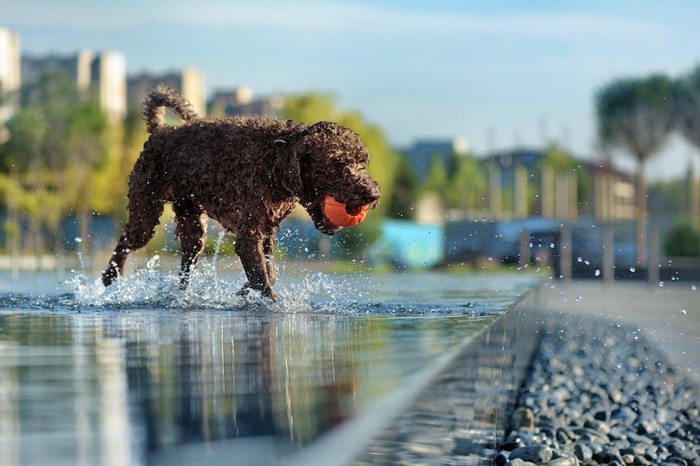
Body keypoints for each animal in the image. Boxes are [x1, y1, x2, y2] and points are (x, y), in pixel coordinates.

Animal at [101, 83, 380, 298]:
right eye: (337, 162)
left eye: (362, 161)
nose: (373, 194)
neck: (276, 159)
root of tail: (161, 129)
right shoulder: (249, 234)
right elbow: (263, 279)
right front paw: (267, 300)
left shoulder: (266, 230)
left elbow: (269, 272)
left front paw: (244, 290)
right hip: (145, 214)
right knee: (125, 241)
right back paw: (110, 277)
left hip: (193, 229)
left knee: (184, 269)